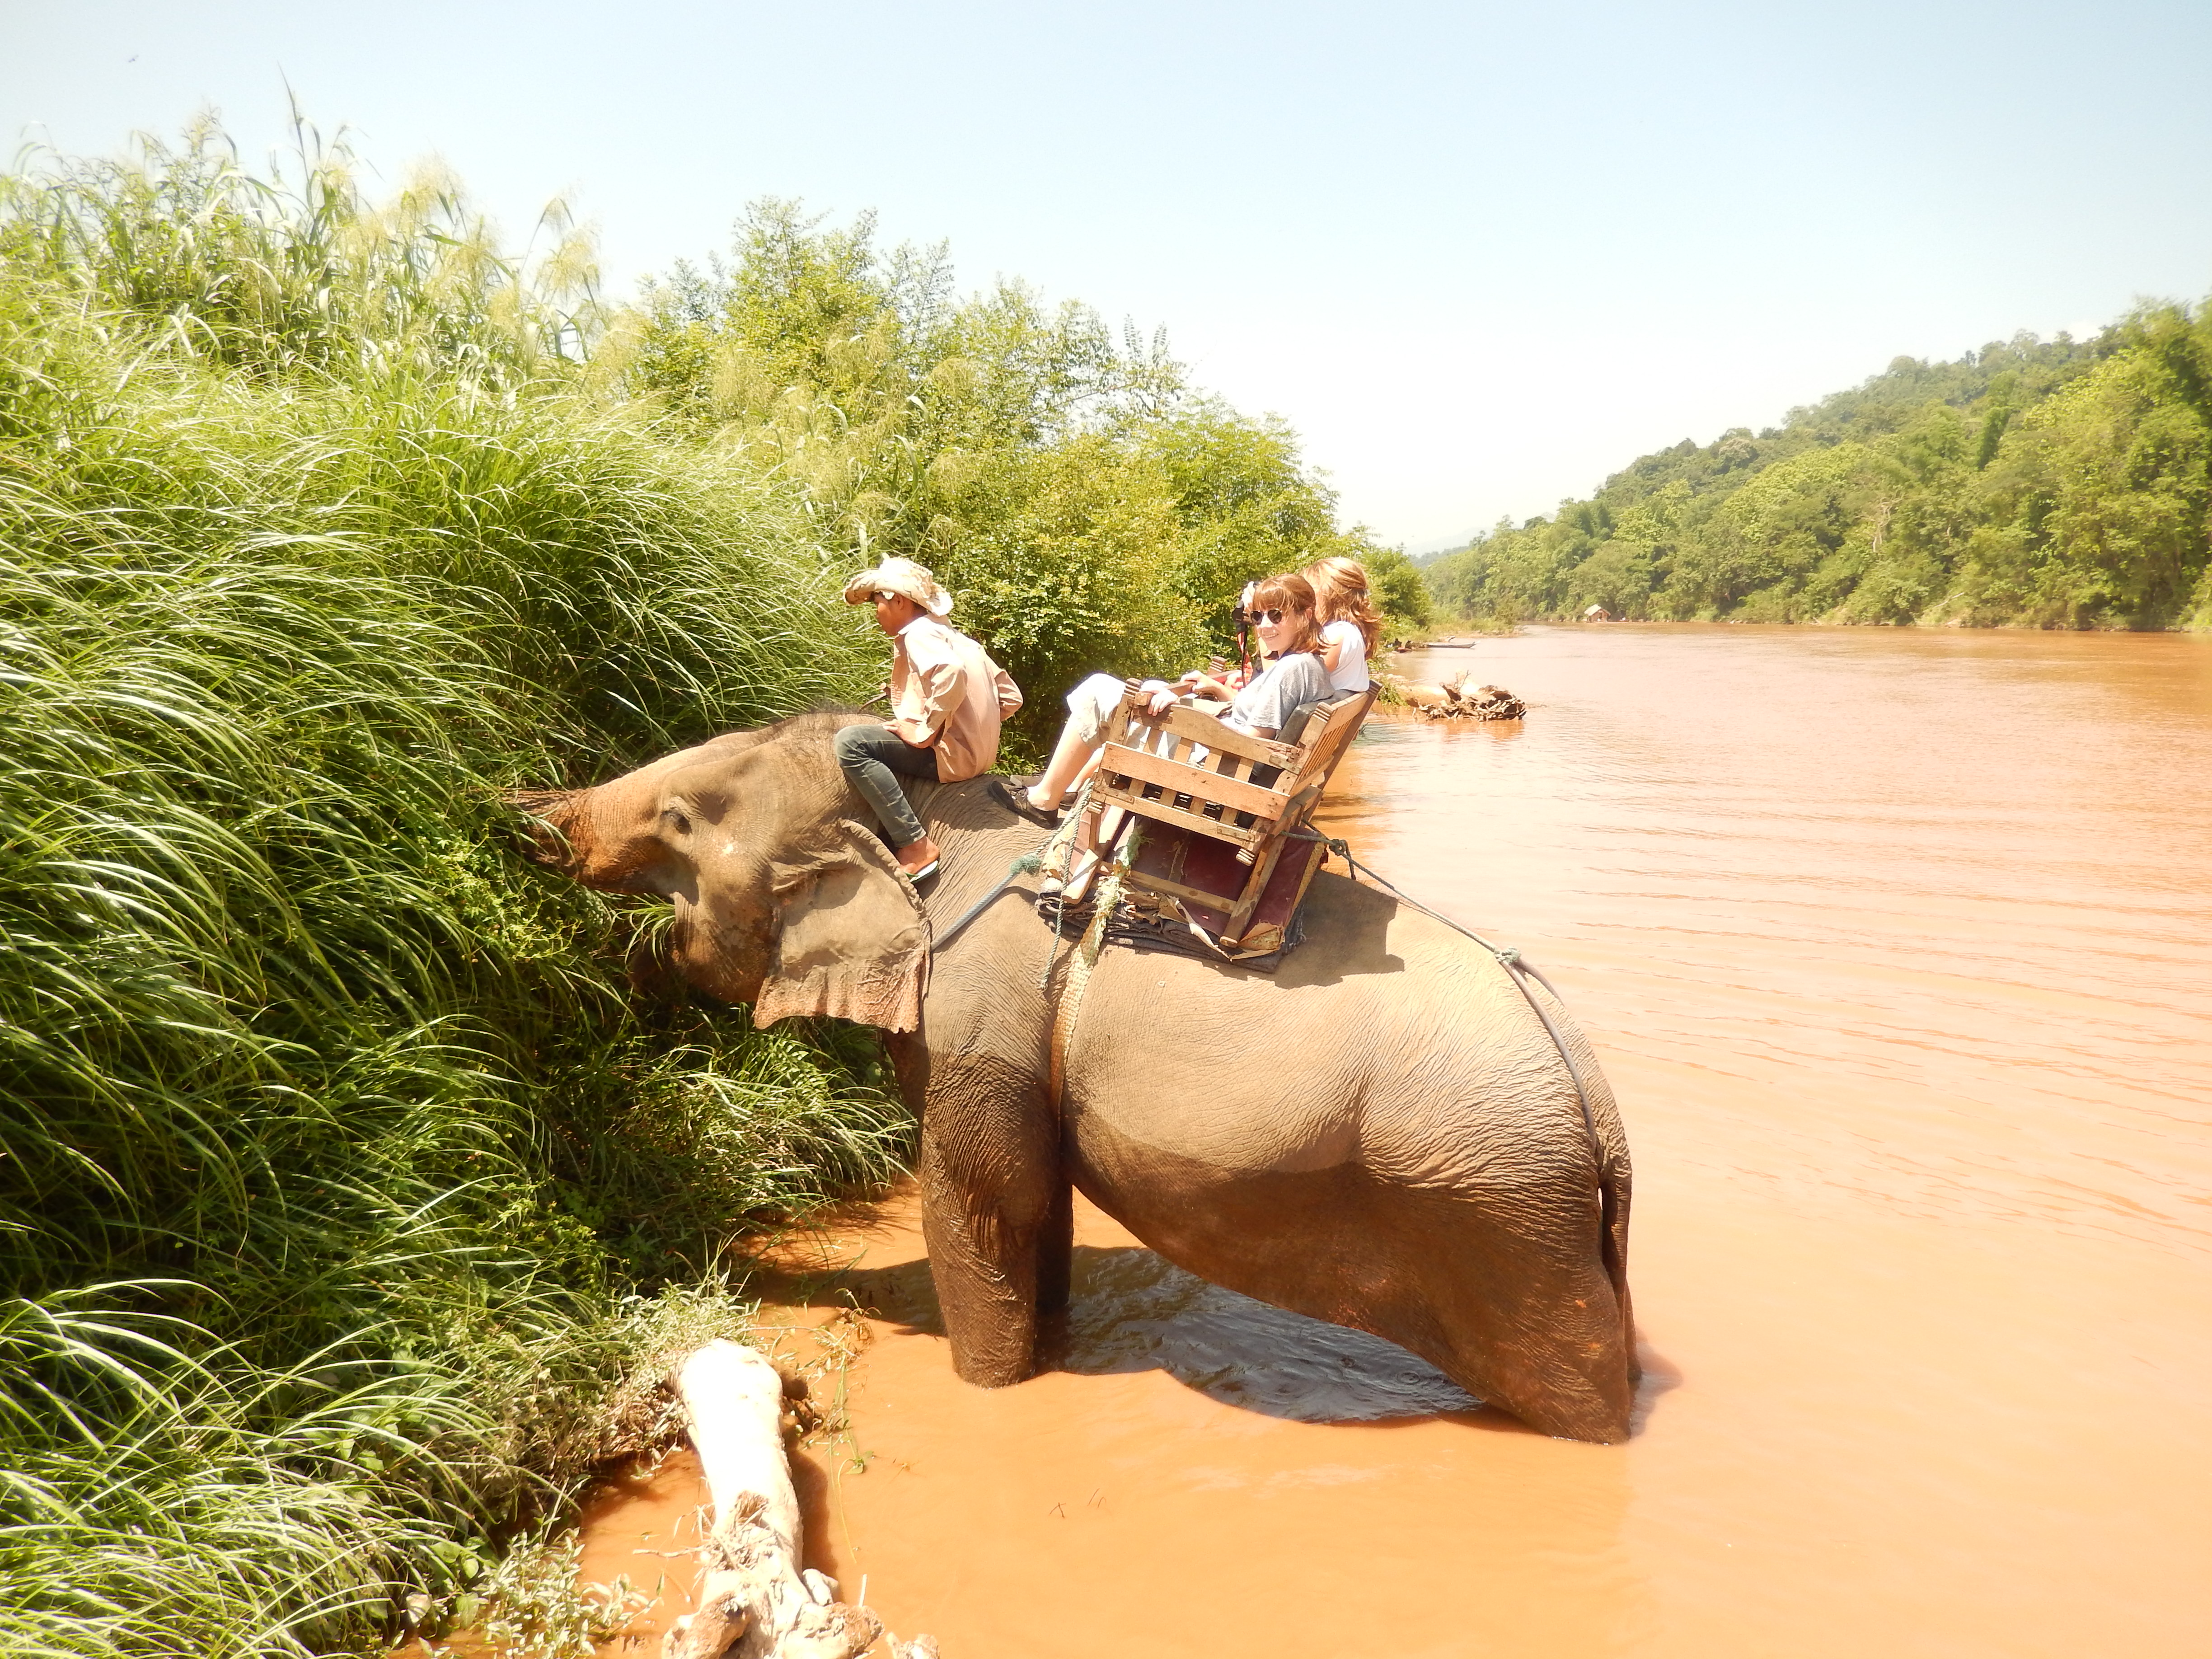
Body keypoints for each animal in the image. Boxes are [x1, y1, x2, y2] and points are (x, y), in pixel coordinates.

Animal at [523, 710, 1638, 1442]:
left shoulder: (978, 1027)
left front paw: (990, 1391)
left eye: (678, 822)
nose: (516, 814)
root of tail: (1595, 1095)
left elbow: (980, 1204)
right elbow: (1037, 1204)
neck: (938, 817)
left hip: (1504, 1214)